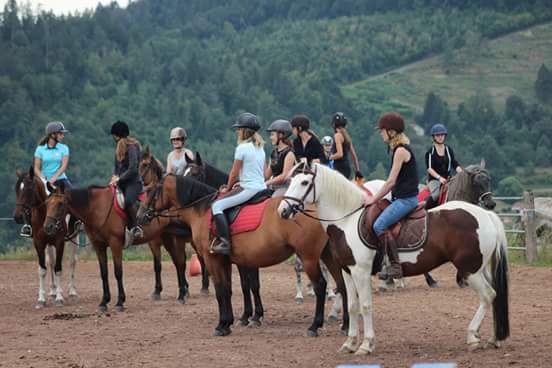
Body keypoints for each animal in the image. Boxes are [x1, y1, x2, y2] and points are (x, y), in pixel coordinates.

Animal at [13, 167, 78, 308]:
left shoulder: (59, 242)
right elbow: (43, 269)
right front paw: (41, 300)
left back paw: (72, 292)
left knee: (72, 261)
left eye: (28, 189)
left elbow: (59, 268)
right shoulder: (39, 243)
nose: (17, 217)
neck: (45, 214)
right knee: (51, 262)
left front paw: (59, 298)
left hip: (74, 238)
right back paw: (53, 291)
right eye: (16, 189)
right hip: (48, 244)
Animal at [42, 178, 191, 310]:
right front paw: (104, 302)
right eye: (47, 203)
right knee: (177, 262)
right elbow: (104, 273)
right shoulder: (99, 246)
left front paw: (120, 302)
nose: (48, 227)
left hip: (171, 238)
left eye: (60, 204)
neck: (97, 208)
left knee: (179, 263)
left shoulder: (115, 244)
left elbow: (118, 272)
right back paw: (180, 294)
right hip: (165, 237)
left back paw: (182, 295)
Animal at [137, 174, 350, 338]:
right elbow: (231, 289)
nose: (140, 216)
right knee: (342, 285)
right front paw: (232, 322)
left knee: (321, 286)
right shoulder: (226, 260)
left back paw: (315, 326)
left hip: (309, 257)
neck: (203, 210)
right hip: (328, 255)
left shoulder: (212, 259)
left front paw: (222, 325)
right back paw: (346, 326)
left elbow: (221, 290)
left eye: (152, 191)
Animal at [141, 147, 210, 296]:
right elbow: (164, 264)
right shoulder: (156, 241)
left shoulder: (175, 239)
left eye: (145, 164)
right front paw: (158, 290)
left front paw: (183, 289)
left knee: (201, 259)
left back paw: (205, 287)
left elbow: (180, 262)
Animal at [278, 164, 512, 354]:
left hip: (470, 270)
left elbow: (365, 306)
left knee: (488, 295)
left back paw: (473, 336)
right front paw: (349, 343)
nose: (283, 210)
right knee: (493, 296)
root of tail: (486, 215)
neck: (348, 220)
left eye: (304, 182)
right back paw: (493, 338)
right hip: (480, 268)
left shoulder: (361, 272)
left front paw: (366, 345)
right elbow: (352, 305)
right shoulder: (347, 271)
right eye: (292, 181)